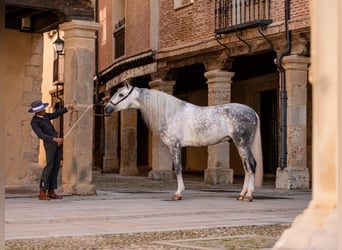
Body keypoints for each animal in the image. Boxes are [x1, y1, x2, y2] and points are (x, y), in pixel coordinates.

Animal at [103, 84, 264, 201]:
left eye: (121, 94)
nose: (106, 109)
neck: (170, 113)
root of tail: (253, 112)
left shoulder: (175, 146)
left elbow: (178, 168)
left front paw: (178, 193)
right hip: (240, 144)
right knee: (246, 167)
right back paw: (242, 194)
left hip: (242, 144)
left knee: (251, 165)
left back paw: (249, 195)